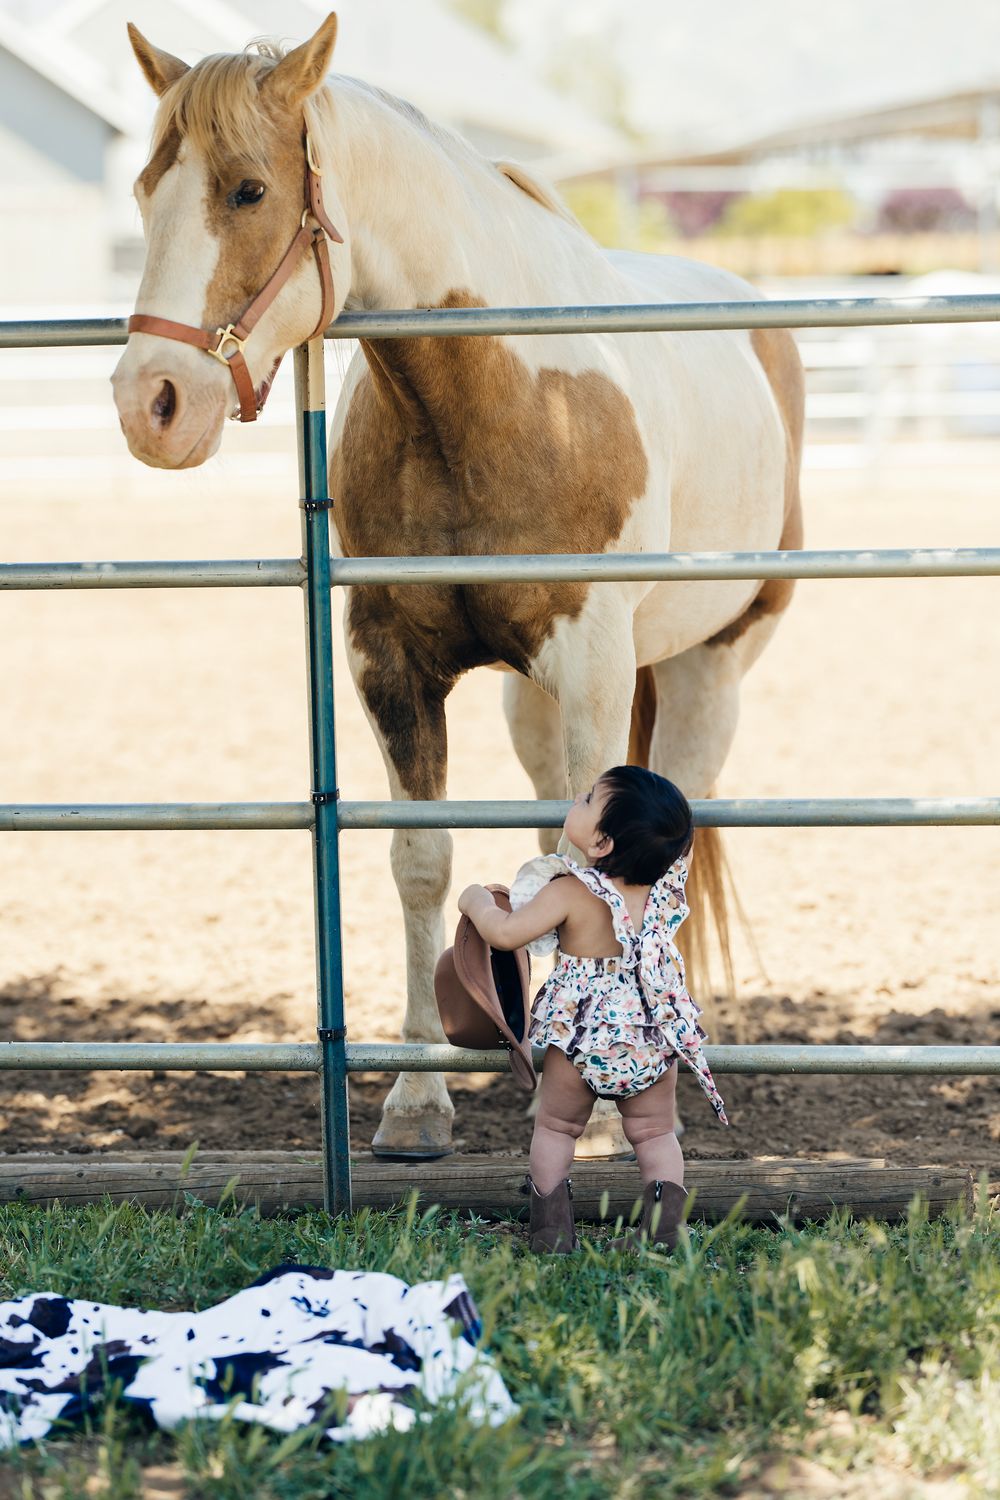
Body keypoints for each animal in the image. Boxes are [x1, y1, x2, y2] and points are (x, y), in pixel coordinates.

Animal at [112, 14, 803, 1160]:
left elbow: (599, 874)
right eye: (142, 190)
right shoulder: (392, 665)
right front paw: (416, 1101)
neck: (501, 395)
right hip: (536, 700)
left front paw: (603, 1105)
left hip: (714, 667)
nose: (149, 402)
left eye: (249, 190)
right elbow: (425, 862)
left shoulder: (596, 663)